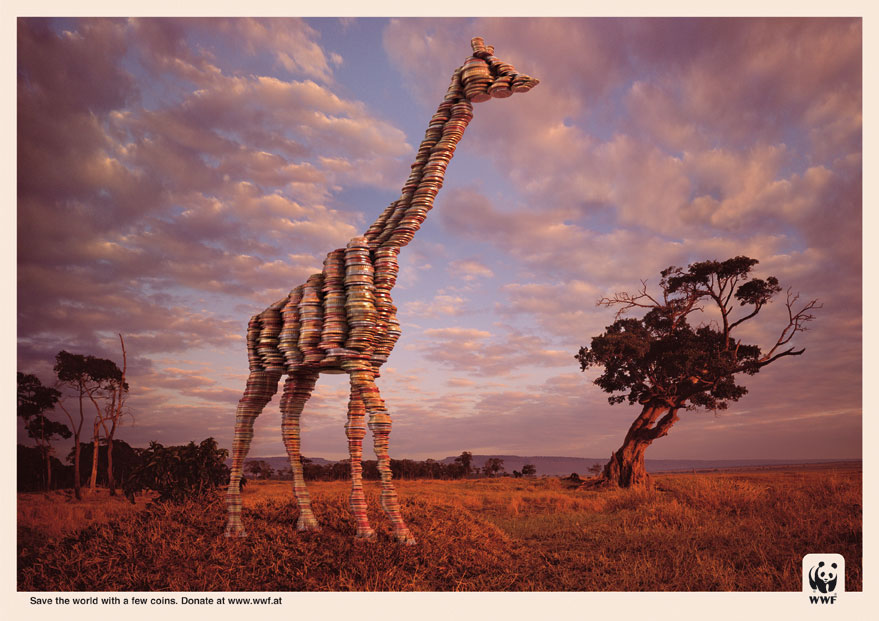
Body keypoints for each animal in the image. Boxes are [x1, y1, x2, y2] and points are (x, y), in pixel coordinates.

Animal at [225, 37, 539, 544]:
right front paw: (401, 531)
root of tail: (253, 319)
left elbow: (356, 431)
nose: (525, 80)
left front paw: (365, 529)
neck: (385, 253)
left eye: (501, 58)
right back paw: (234, 526)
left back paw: (307, 521)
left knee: (290, 420)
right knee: (244, 418)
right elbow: (382, 424)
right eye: (485, 63)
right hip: (263, 367)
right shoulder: (357, 361)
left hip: (304, 371)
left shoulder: (366, 362)